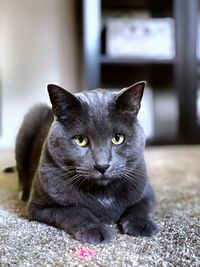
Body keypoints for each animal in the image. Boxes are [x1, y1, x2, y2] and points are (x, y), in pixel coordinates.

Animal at [15, 82, 158, 245]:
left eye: (118, 138)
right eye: (80, 140)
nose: (102, 165)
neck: (102, 192)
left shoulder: (146, 189)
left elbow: (141, 205)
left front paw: (142, 225)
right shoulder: (39, 206)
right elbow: (75, 210)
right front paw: (96, 230)